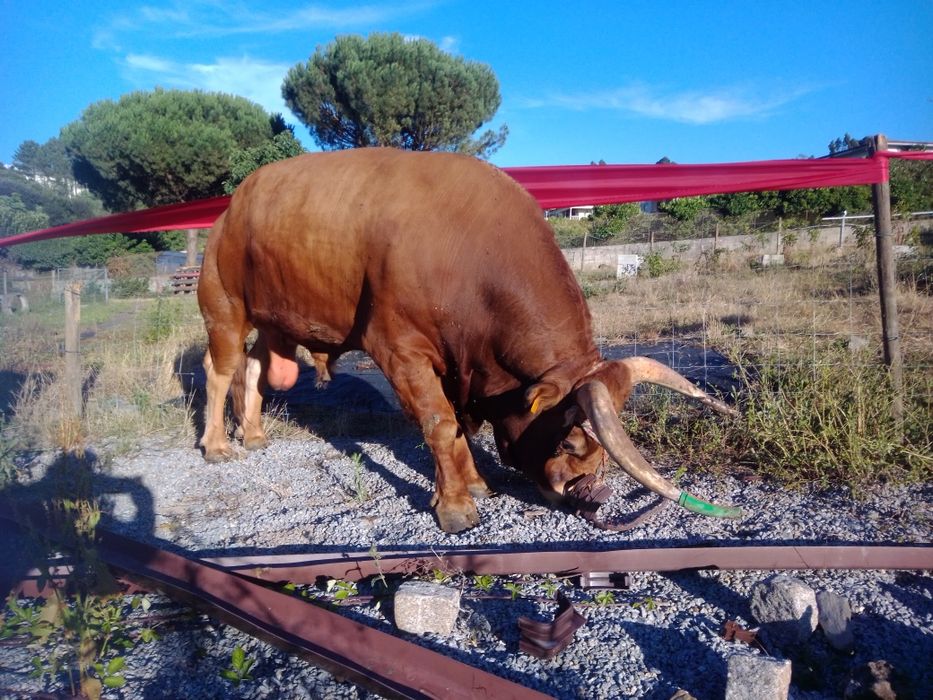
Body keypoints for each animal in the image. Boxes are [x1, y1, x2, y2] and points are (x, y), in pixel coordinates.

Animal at [197, 148, 741, 533]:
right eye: (568, 439)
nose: (593, 493)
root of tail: (233, 206)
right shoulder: (400, 350)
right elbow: (439, 425)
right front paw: (455, 506)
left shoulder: (459, 364)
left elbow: (460, 428)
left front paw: (475, 483)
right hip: (224, 307)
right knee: (219, 370)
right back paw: (219, 444)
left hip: (277, 323)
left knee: (254, 367)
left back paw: (253, 433)